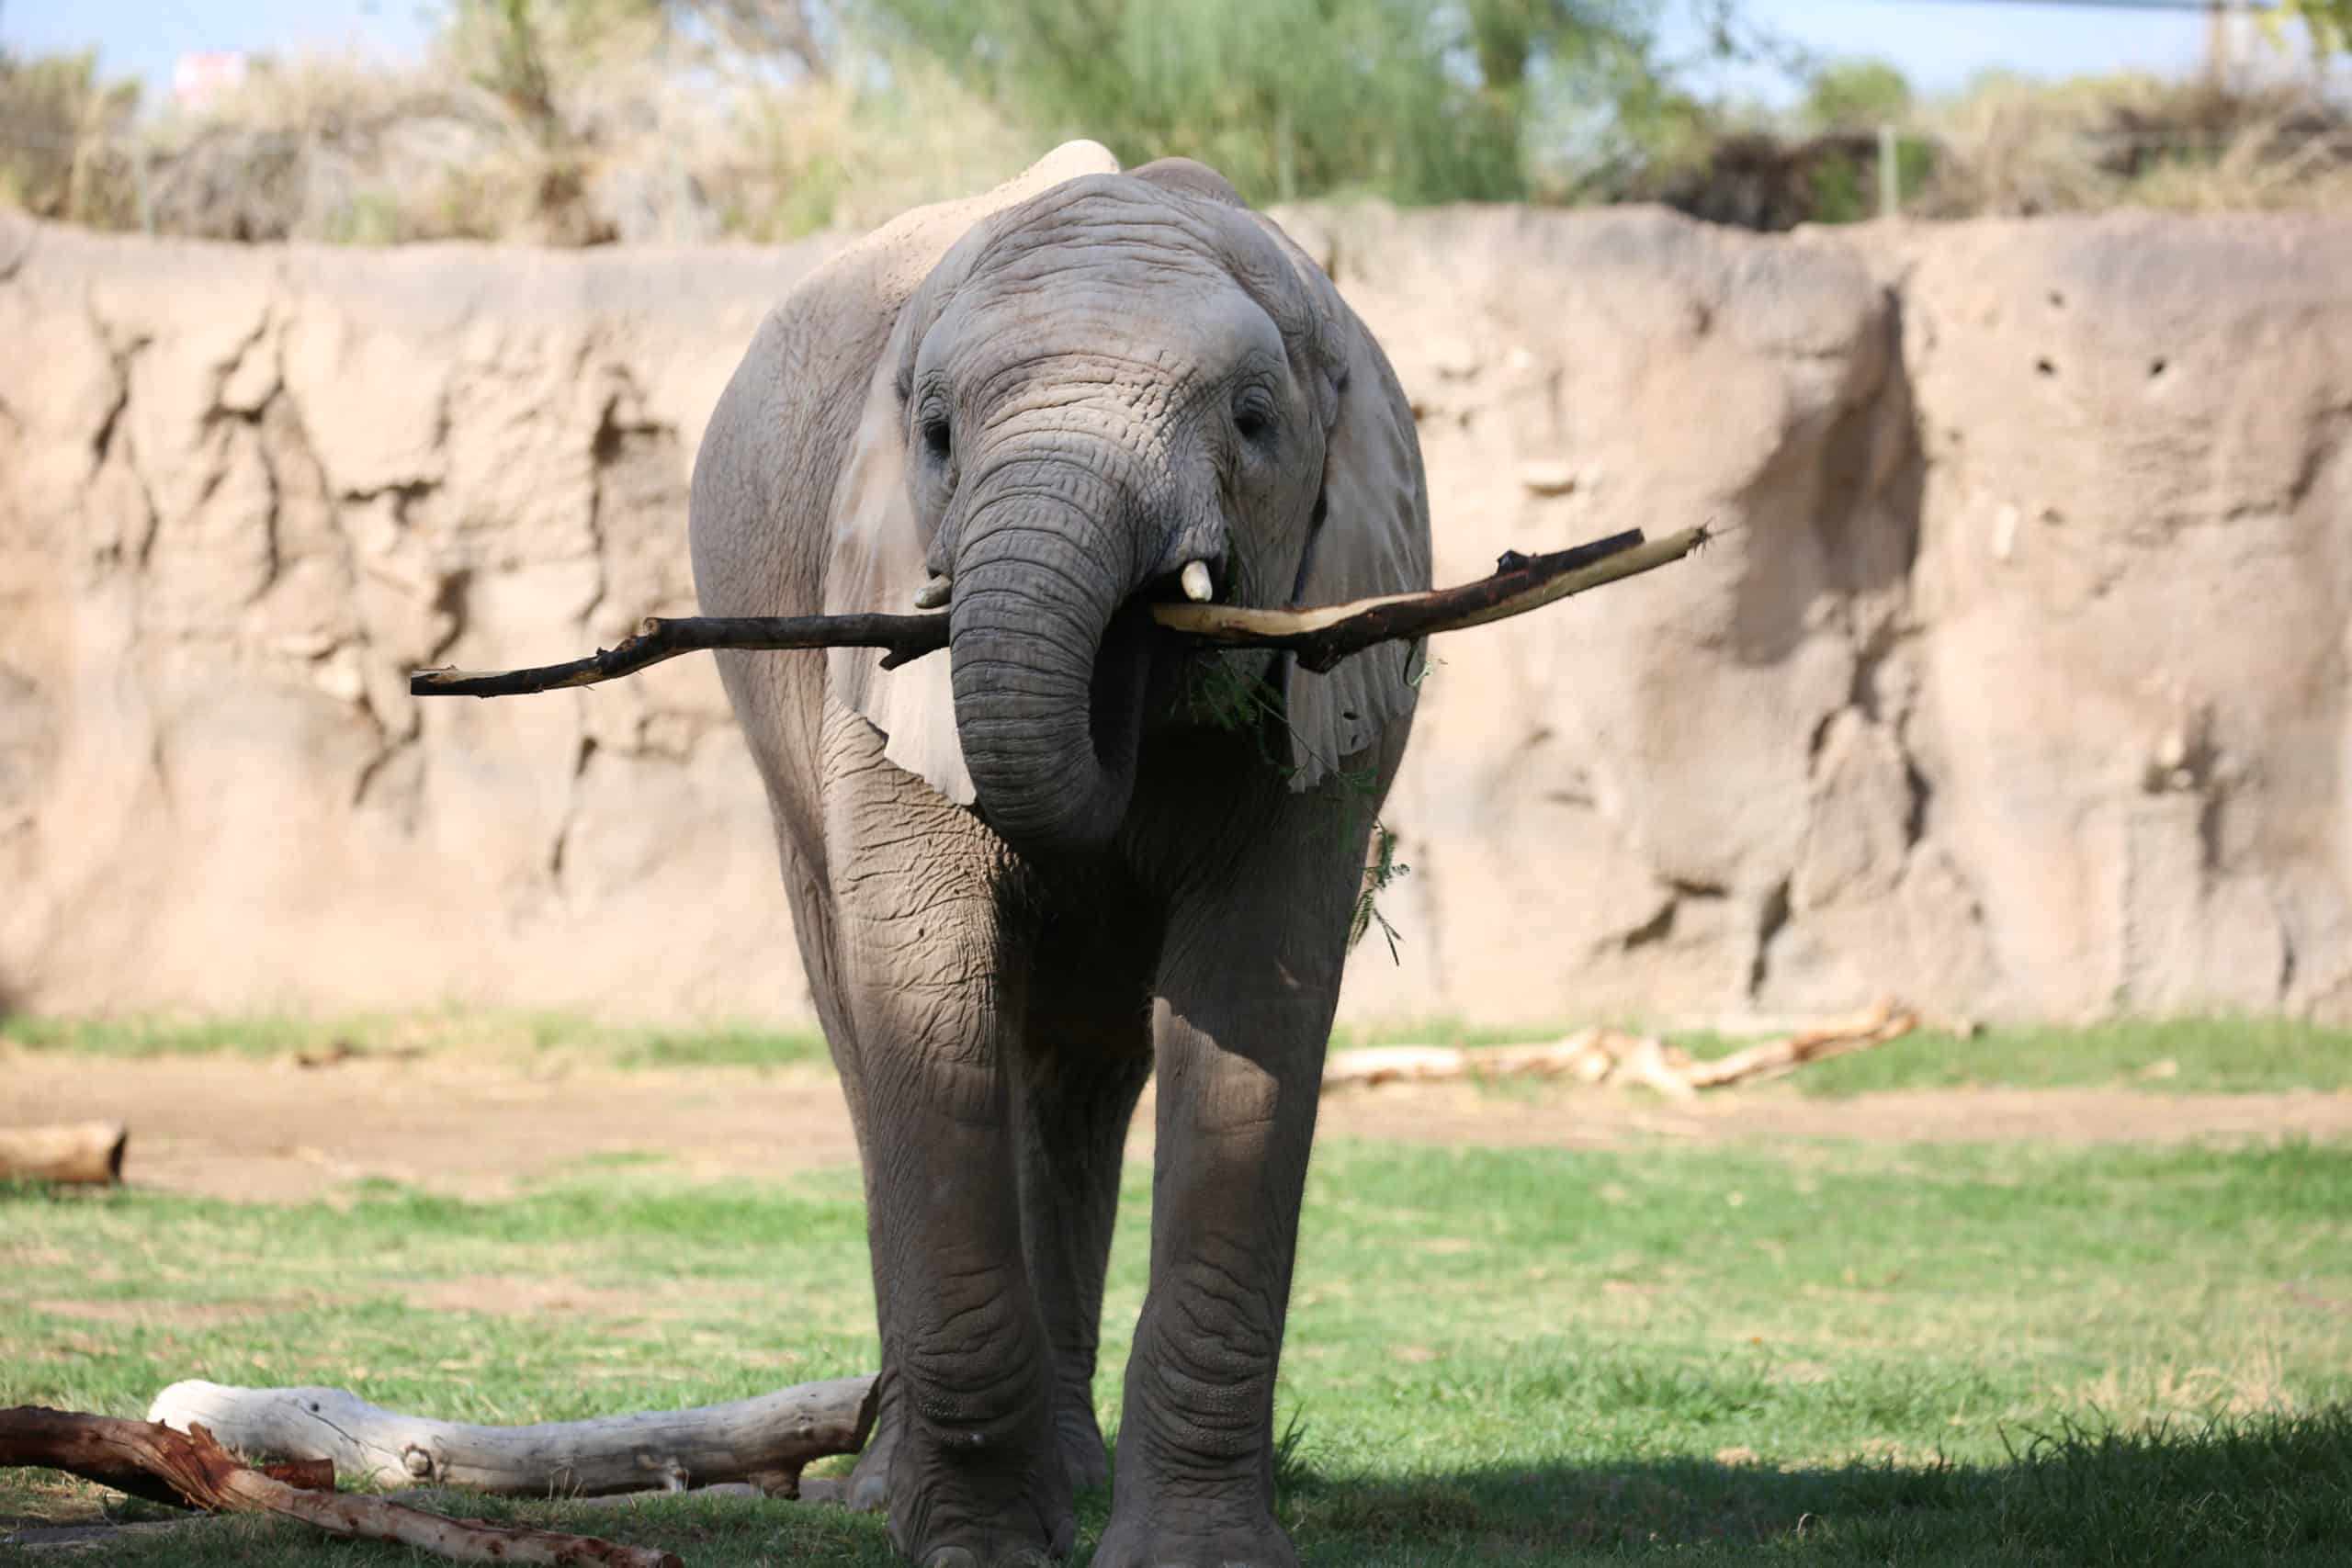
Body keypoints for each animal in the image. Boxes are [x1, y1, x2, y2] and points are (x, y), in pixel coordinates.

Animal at [688, 140, 1432, 1568]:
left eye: (1254, 417)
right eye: (936, 436)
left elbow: (1255, 1001)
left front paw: (1195, 1555)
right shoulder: (877, 637)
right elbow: (927, 983)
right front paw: (976, 1547)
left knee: (1077, 1068)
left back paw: (1075, 1470)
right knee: (877, 1037)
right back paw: (893, 1486)